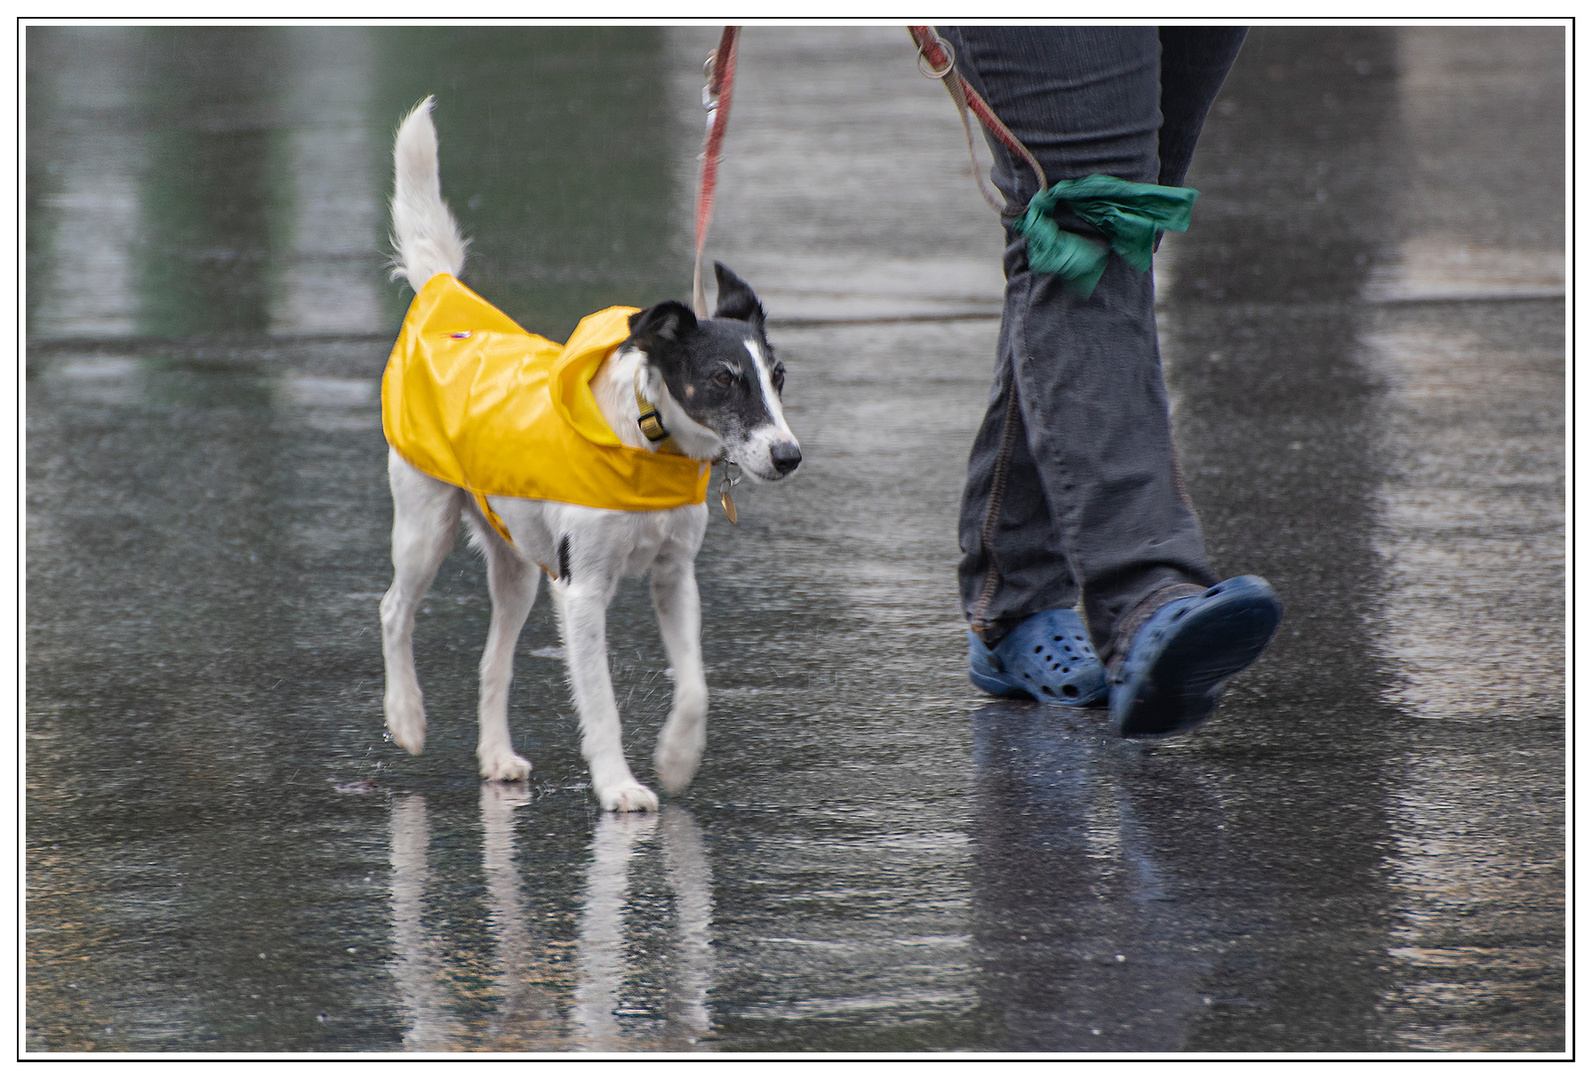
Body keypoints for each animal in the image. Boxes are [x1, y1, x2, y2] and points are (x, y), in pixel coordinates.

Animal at [372, 99, 796, 812]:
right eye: (722, 380)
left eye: (778, 377)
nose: (788, 455)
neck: (649, 442)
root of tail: (441, 296)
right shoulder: (581, 592)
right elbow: (600, 704)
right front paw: (618, 785)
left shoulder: (674, 577)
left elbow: (696, 687)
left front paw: (676, 758)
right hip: (425, 527)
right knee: (393, 610)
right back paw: (405, 717)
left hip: (517, 567)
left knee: (492, 662)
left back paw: (495, 756)